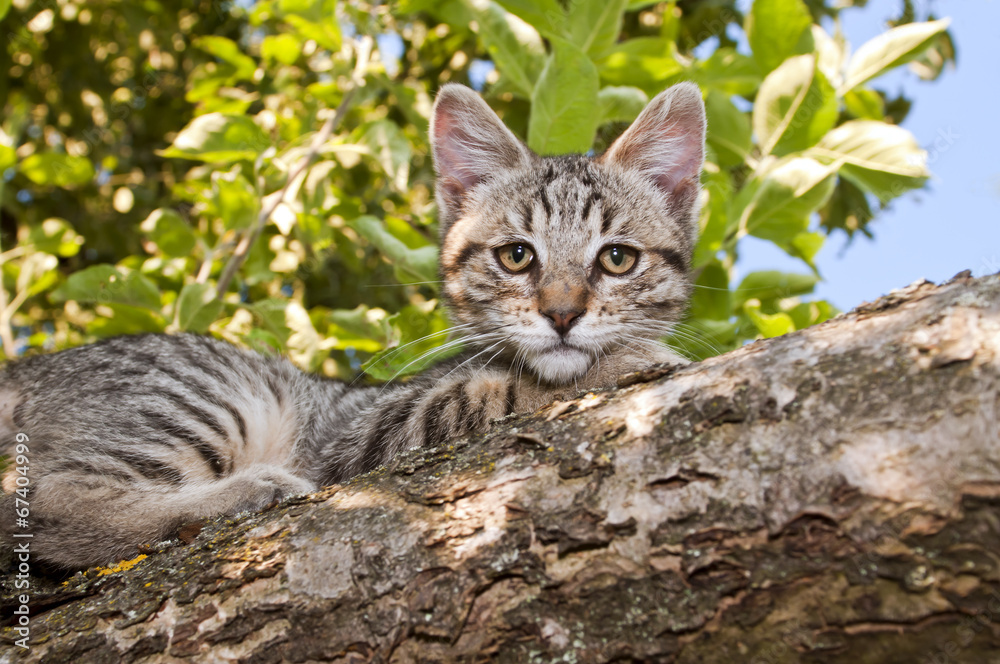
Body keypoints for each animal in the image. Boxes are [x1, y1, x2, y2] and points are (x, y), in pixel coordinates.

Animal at [0, 83, 708, 572]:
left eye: (616, 259)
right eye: (516, 255)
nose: (562, 314)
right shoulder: (361, 437)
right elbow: (493, 392)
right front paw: (630, 360)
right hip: (210, 394)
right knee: (42, 502)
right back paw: (244, 491)